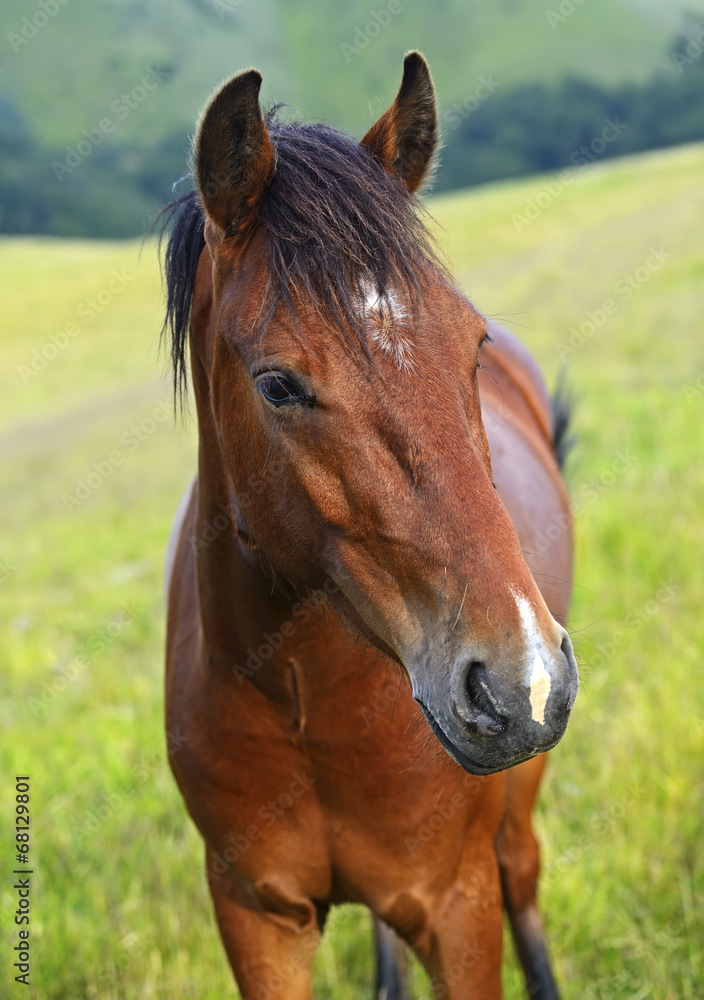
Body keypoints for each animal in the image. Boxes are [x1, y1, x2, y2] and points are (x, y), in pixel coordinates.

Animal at [162, 52, 578, 1000]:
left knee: (525, 874)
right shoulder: (257, 918)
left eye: (472, 344)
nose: (521, 682)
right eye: (278, 385)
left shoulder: (458, 906)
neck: (305, 698)